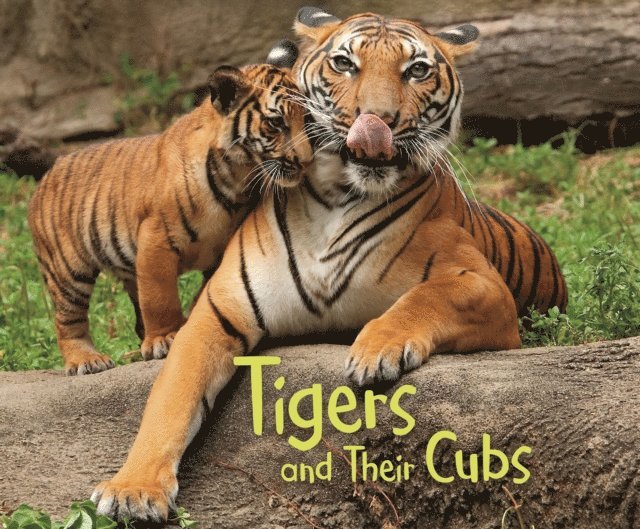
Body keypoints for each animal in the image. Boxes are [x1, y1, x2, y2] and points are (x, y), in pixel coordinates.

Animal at [28, 63, 312, 376]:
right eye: (276, 123)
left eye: (306, 118)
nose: (306, 161)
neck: (239, 179)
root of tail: (47, 174)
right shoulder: (157, 240)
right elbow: (159, 298)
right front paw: (164, 339)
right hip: (68, 270)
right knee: (68, 320)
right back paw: (87, 360)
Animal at [92, 7, 567, 521]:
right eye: (344, 63)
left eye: (416, 70)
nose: (377, 120)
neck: (337, 198)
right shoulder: (218, 312)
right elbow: (172, 396)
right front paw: (133, 489)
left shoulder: (482, 283)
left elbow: (425, 296)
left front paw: (375, 350)